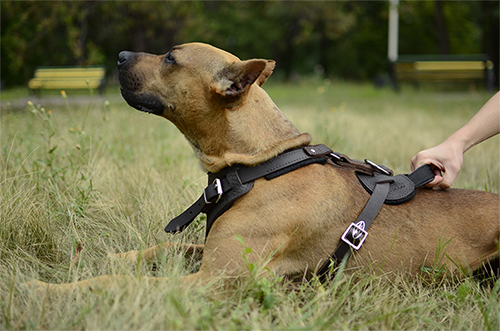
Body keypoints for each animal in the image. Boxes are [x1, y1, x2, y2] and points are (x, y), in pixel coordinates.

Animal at [26, 42, 500, 294]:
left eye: (171, 59)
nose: (120, 54)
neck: (259, 166)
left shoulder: (212, 280)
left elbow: (113, 283)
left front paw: (48, 290)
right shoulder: (210, 253)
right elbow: (159, 249)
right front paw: (106, 255)